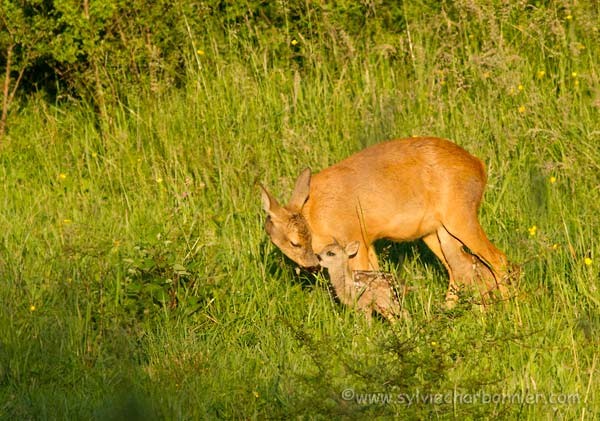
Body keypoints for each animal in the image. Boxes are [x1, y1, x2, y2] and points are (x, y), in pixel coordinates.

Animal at [260, 136, 508, 300]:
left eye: (296, 242)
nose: (310, 264)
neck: (315, 216)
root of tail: (479, 166)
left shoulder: (354, 236)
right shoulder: (367, 241)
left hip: (460, 215)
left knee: (499, 259)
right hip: (436, 232)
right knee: (459, 268)